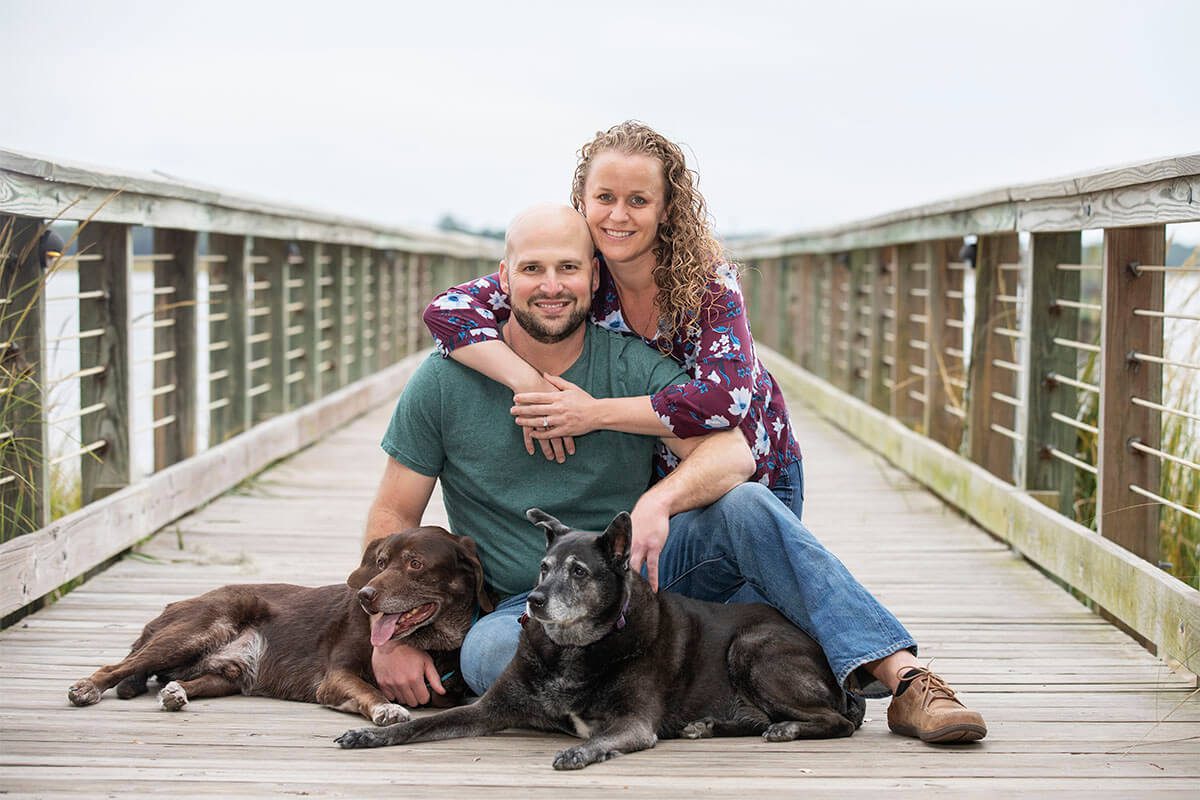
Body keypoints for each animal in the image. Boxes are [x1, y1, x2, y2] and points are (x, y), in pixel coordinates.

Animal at [68, 526, 493, 725]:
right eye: (381, 562)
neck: (434, 641)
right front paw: (387, 708)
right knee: (116, 666)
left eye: (415, 564)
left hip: (229, 674)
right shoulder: (336, 678)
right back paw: (87, 688)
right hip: (195, 630)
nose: (365, 596)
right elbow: (369, 691)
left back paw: (176, 694)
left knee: (190, 680)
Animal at [335, 509, 863, 768]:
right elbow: (416, 727)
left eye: (579, 571)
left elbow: (607, 736)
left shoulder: (633, 722)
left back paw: (787, 728)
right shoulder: (487, 710)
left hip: (752, 648)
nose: (534, 601)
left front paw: (579, 752)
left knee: (838, 720)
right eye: (543, 567)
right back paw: (708, 726)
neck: (571, 649)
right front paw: (370, 734)